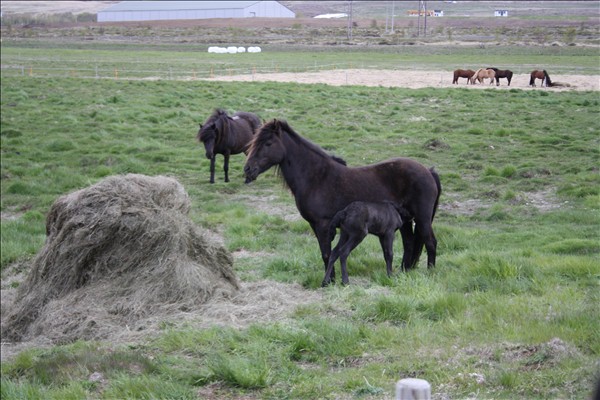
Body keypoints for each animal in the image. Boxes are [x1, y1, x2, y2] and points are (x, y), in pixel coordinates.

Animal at [244, 119, 441, 281]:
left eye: (268, 143)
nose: (247, 170)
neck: (317, 177)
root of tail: (428, 171)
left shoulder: (323, 225)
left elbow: (326, 253)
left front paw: (330, 280)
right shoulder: (315, 225)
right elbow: (327, 253)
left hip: (422, 218)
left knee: (430, 242)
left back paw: (430, 273)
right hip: (406, 221)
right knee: (409, 243)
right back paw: (403, 272)